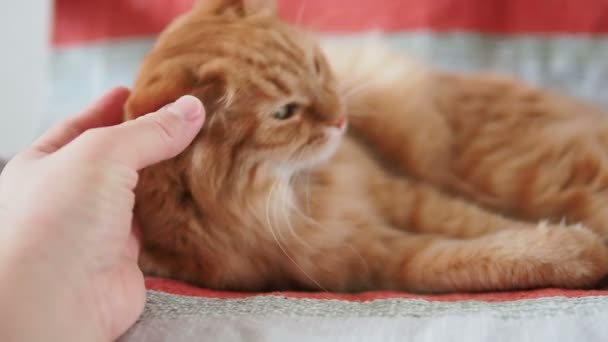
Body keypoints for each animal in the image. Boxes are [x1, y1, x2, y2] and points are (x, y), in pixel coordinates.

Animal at [123, 0, 608, 294]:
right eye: (284, 113)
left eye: (317, 67)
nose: (341, 119)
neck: (297, 189)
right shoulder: (374, 257)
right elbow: (466, 256)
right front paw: (575, 251)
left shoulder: (403, 195)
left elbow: (479, 223)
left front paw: (573, 245)